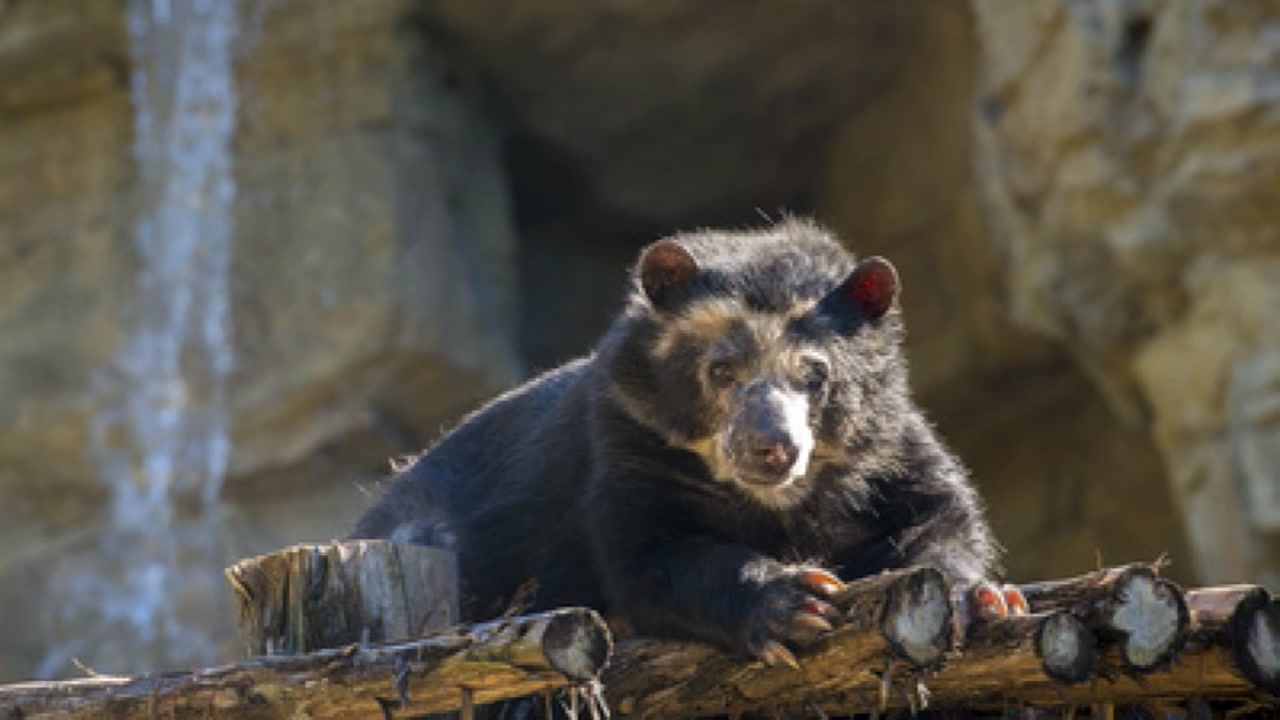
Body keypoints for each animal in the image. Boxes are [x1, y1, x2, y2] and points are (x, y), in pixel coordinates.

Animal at [352, 218, 1015, 666]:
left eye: (815, 376)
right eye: (722, 370)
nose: (772, 447)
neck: (775, 500)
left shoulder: (886, 445)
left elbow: (934, 513)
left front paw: (979, 599)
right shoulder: (631, 442)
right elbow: (653, 554)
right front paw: (797, 604)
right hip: (427, 536)